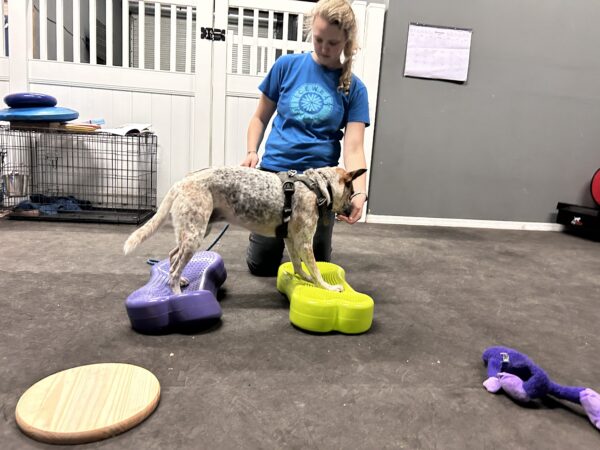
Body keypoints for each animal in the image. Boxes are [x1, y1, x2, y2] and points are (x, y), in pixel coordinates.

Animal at [124, 166, 367, 294]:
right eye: (351, 191)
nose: (352, 210)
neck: (317, 186)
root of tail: (181, 183)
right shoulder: (305, 242)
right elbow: (315, 270)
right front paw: (326, 287)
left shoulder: (291, 239)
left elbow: (298, 265)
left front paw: (303, 277)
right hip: (194, 236)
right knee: (174, 269)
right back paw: (177, 293)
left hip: (196, 232)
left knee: (173, 256)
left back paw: (182, 280)